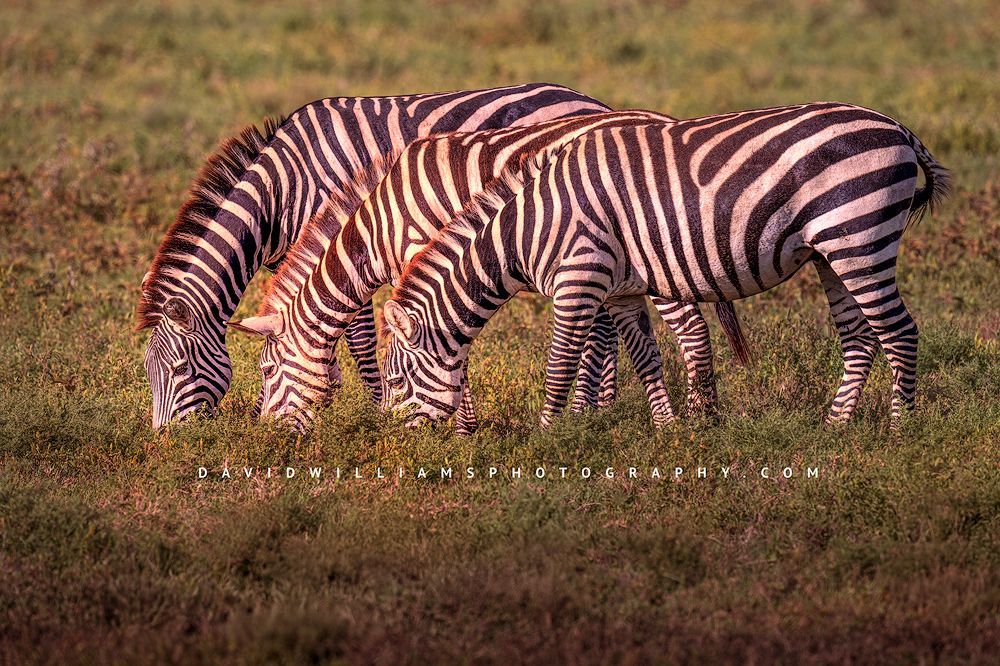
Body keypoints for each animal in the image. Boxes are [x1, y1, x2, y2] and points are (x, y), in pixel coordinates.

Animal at [135, 83, 613, 429]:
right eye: (149, 373)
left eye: (179, 368)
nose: (168, 441)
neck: (280, 194)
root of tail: (590, 100)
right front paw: (276, 409)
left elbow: (360, 339)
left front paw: (377, 405)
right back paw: (600, 410)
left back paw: (590, 412)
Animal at [227, 111, 749, 430]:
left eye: (267, 369)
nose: (265, 435)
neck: (381, 224)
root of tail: (664, 119)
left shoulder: (426, 254)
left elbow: (441, 345)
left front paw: (463, 429)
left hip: (655, 255)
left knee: (691, 329)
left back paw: (701, 421)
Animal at [378, 103, 950, 430]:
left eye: (397, 378)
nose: (395, 441)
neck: (526, 229)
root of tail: (899, 129)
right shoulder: (622, 290)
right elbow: (646, 358)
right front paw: (668, 430)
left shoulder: (577, 279)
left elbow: (560, 364)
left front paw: (548, 437)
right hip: (832, 252)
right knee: (859, 336)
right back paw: (837, 427)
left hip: (861, 236)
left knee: (899, 332)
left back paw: (901, 431)